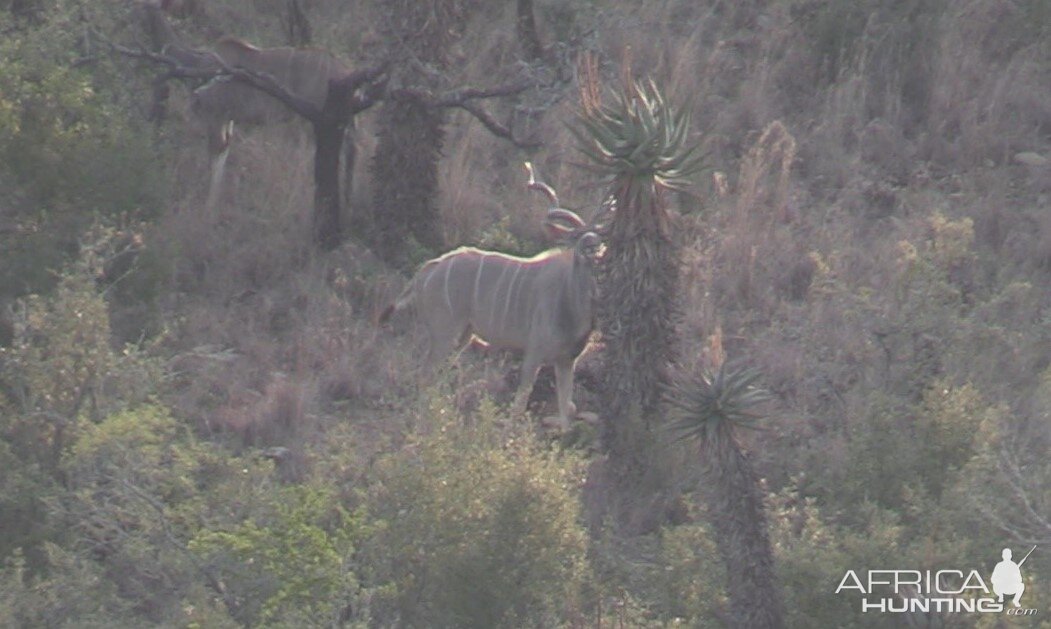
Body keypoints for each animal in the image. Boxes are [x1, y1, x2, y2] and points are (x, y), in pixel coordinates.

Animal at [384, 163, 601, 431]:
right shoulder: (534, 354)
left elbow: (566, 411)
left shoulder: (566, 361)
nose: (591, 246)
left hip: (462, 337)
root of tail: (425, 271)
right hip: (445, 333)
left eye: (599, 238)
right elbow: (520, 405)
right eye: (575, 237)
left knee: (437, 376)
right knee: (425, 375)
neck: (569, 299)